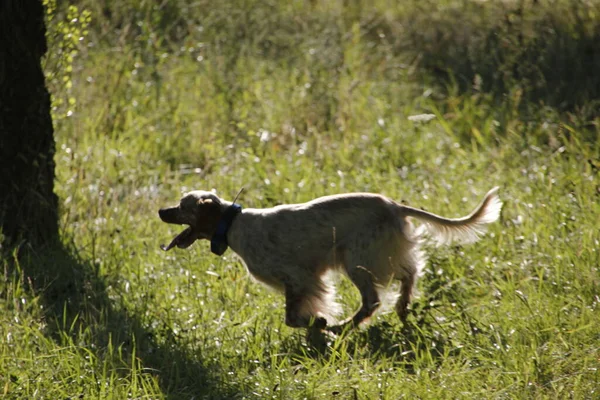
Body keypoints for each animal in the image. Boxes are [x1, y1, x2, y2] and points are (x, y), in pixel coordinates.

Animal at [159, 188, 502, 334]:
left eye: (182, 206)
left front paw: (320, 322)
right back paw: (402, 307)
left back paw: (342, 326)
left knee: (373, 301)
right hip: (375, 256)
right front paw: (318, 324)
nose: (161, 211)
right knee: (408, 275)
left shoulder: (300, 278)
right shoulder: (305, 280)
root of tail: (394, 206)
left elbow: (293, 317)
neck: (233, 225)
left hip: (357, 260)